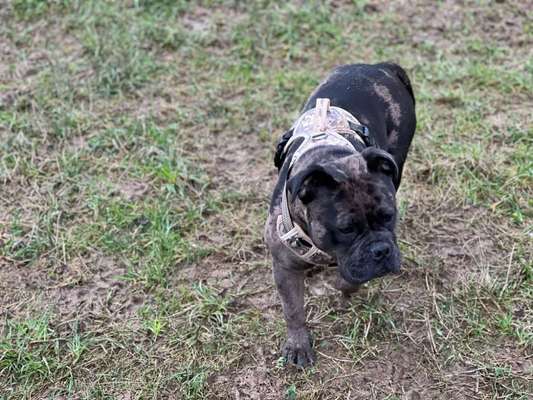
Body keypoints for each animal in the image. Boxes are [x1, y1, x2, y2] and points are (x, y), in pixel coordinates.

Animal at [264, 61, 418, 366]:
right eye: (346, 228)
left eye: (389, 216)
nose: (381, 250)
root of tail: (380, 67)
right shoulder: (284, 267)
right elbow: (293, 309)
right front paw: (298, 345)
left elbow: (349, 278)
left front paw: (342, 287)